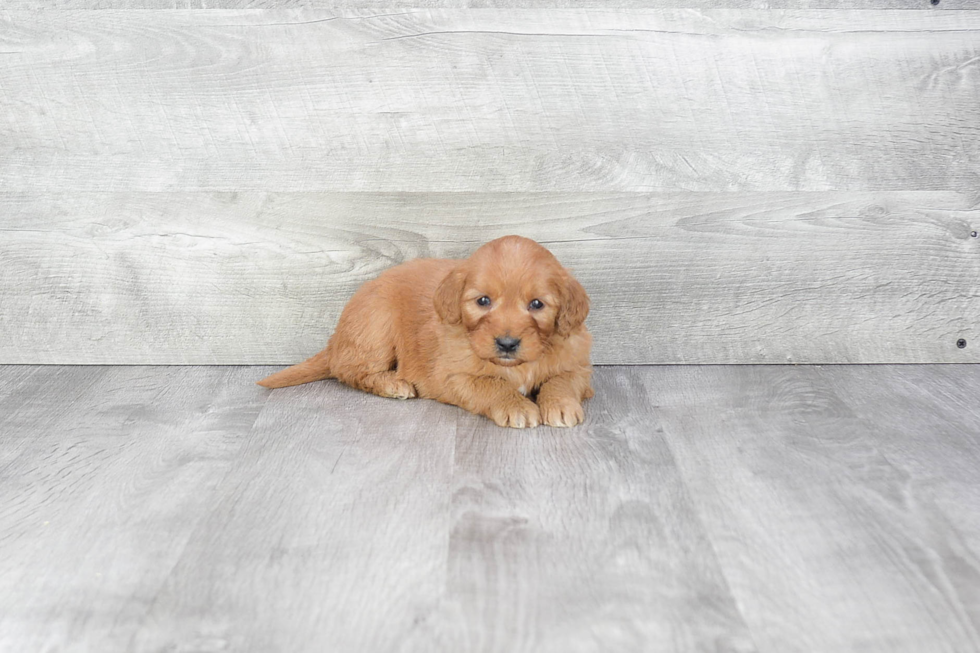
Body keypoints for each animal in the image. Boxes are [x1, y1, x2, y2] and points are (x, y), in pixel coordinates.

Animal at [256, 234, 592, 428]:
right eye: (483, 301)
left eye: (537, 304)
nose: (507, 343)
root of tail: (335, 339)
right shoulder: (454, 376)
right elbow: (491, 385)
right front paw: (517, 406)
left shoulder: (579, 366)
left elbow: (562, 380)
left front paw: (560, 405)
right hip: (376, 326)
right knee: (348, 370)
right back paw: (393, 384)